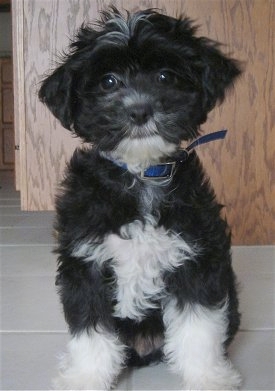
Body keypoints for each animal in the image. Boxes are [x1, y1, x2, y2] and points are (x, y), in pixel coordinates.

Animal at [40, 6, 243, 391]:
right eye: (108, 82)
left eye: (165, 76)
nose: (139, 111)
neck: (140, 174)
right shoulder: (86, 262)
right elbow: (91, 331)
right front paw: (84, 378)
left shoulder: (195, 259)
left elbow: (199, 329)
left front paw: (208, 377)